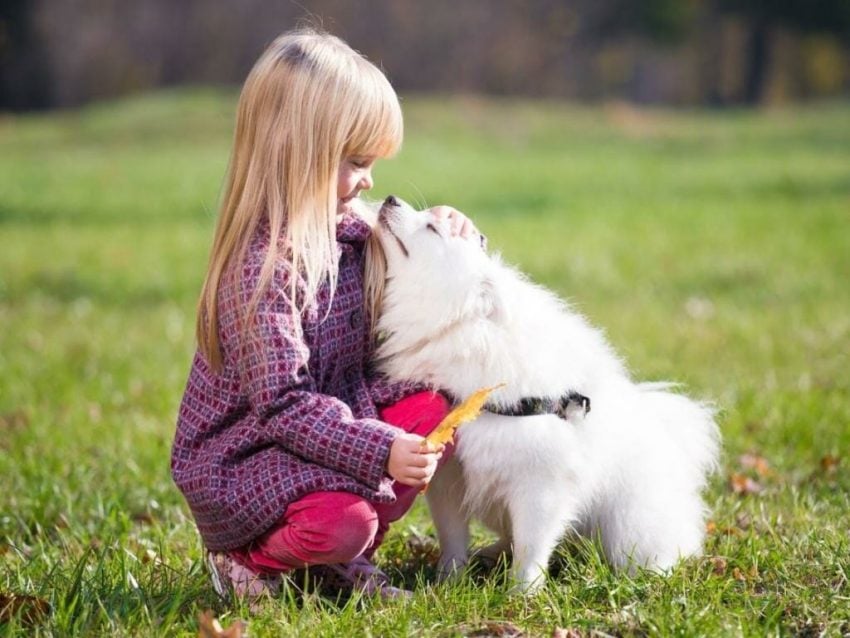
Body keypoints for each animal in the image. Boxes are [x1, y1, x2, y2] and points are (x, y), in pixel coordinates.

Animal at [368, 196, 720, 596]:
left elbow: (531, 546)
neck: (464, 330)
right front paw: (448, 582)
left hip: (630, 525)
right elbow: (453, 535)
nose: (390, 198)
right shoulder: (449, 475)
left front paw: (521, 594)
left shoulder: (541, 481)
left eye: (431, 227)